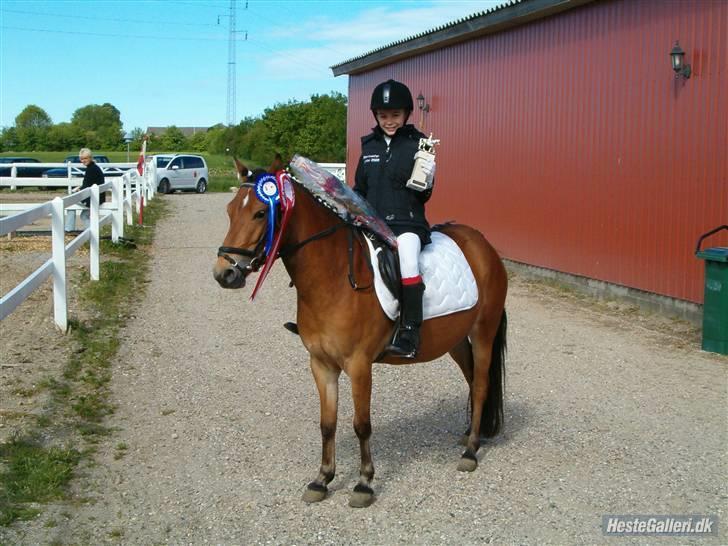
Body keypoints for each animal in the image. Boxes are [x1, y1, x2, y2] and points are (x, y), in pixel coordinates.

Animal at [212, 157, 506, 506]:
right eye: (230, 210)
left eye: (260, 213)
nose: (224, 273)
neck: (334, 276)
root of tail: (483, 245)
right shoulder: (321, 364)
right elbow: (327, 424)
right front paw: (322, 479)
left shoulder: (359, 365)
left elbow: (361, 424)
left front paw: (364, 483)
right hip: (457, 339)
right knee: (473, 380)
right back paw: (470, 434)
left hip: (484, 332)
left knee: (481, 385)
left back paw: (471, 451)